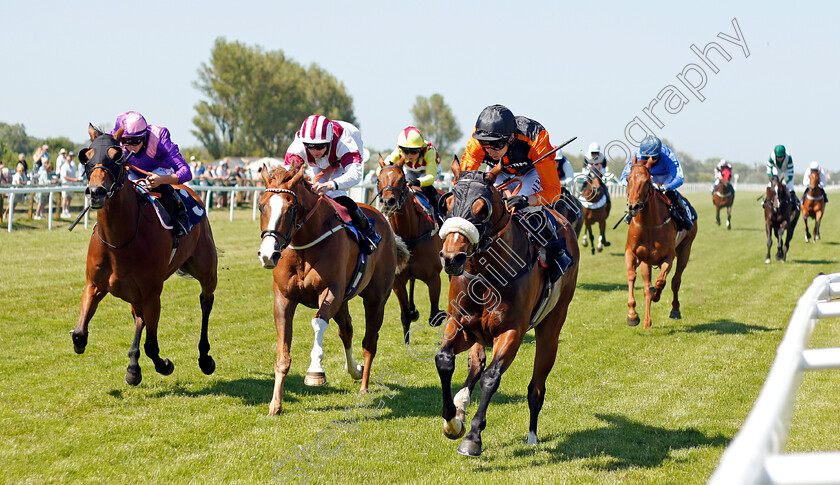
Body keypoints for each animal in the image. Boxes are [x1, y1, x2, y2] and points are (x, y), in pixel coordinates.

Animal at [71, 124, 218, 382]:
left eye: (117, 156)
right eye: (86, 157)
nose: (95, 191)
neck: (119, 242)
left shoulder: (152, 294)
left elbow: (152, 345)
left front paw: (165, 365)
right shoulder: (94, 285)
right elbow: (79, 334)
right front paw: (133, 367)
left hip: (206, 269)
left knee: (205, 301)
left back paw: (205, 358)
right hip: (133, 293)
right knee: (138, 317)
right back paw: (133, 366)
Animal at [260, 163, 410, 416]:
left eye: (290, 210)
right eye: (262, 206)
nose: (268, 254)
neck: (304, 244)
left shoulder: (331, 291)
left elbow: (318, 323)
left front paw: (315, 371)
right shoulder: (284, 298)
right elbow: (282, 355)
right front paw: (275, 404)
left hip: (375, 299)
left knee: (369, 342)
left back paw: (363, 387)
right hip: (344, 301)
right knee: (346, 330)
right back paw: (355, 370)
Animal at [378, 157, 446, 338]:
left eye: (402, 180)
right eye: (379, 179)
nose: (388, 202)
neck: (409, 233)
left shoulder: (434, 277)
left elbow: (435, 317)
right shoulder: (397, 281)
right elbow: (405, 316)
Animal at [434, 158, 576, 454]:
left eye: (483, 208)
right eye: (447, 202)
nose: (452, 258)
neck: (486, 275)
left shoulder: (511, 331)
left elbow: (491, 377)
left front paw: (472, 437)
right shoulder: (461, 324)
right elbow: (444, 360)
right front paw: (452, 421)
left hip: (551, 328)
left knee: (537, 385)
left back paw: (532, 435)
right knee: (474, 366)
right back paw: (461, 404)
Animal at [624, 159, 696, 328]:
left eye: (646, 181)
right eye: (629, 179)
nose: (632, 206)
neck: (650, 224)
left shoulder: (668, 257)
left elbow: (661, 281)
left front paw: (656, 295)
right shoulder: (633, 253)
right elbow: (632, 276)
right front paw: (632, 315)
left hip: (686, 248)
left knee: (676, 280)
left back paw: (675, 309)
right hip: (646, 261)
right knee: (647, 286)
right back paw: (646, 321)